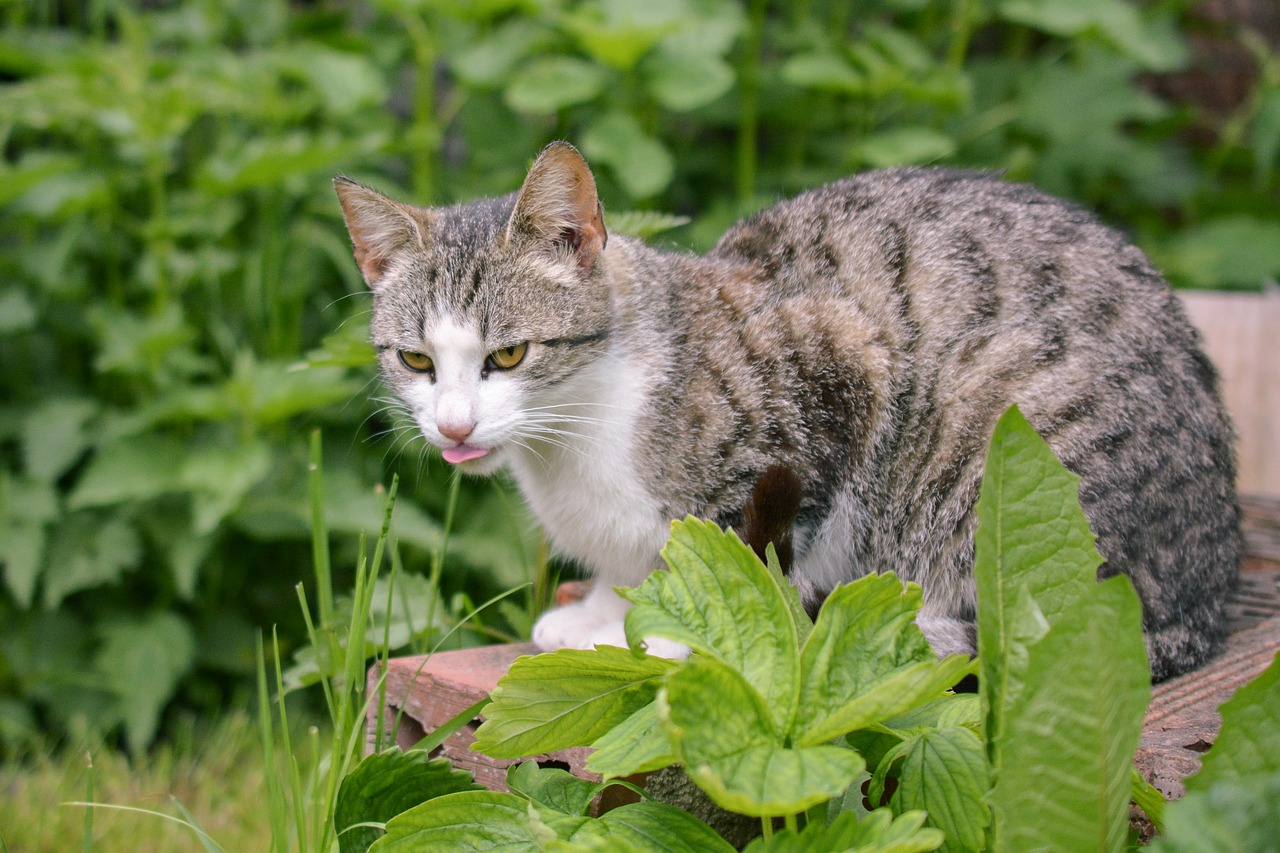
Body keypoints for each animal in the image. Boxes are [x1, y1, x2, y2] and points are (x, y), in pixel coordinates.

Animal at [337, 142, 1239, 681]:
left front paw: (682, 628)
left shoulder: (843, 367)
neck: (577, 436)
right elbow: (629, 569)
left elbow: (733, 549)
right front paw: (601, 612)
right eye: (416, 362)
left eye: (510, 355)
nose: (454, 426)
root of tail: (1210, 589)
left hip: (1007, 430)